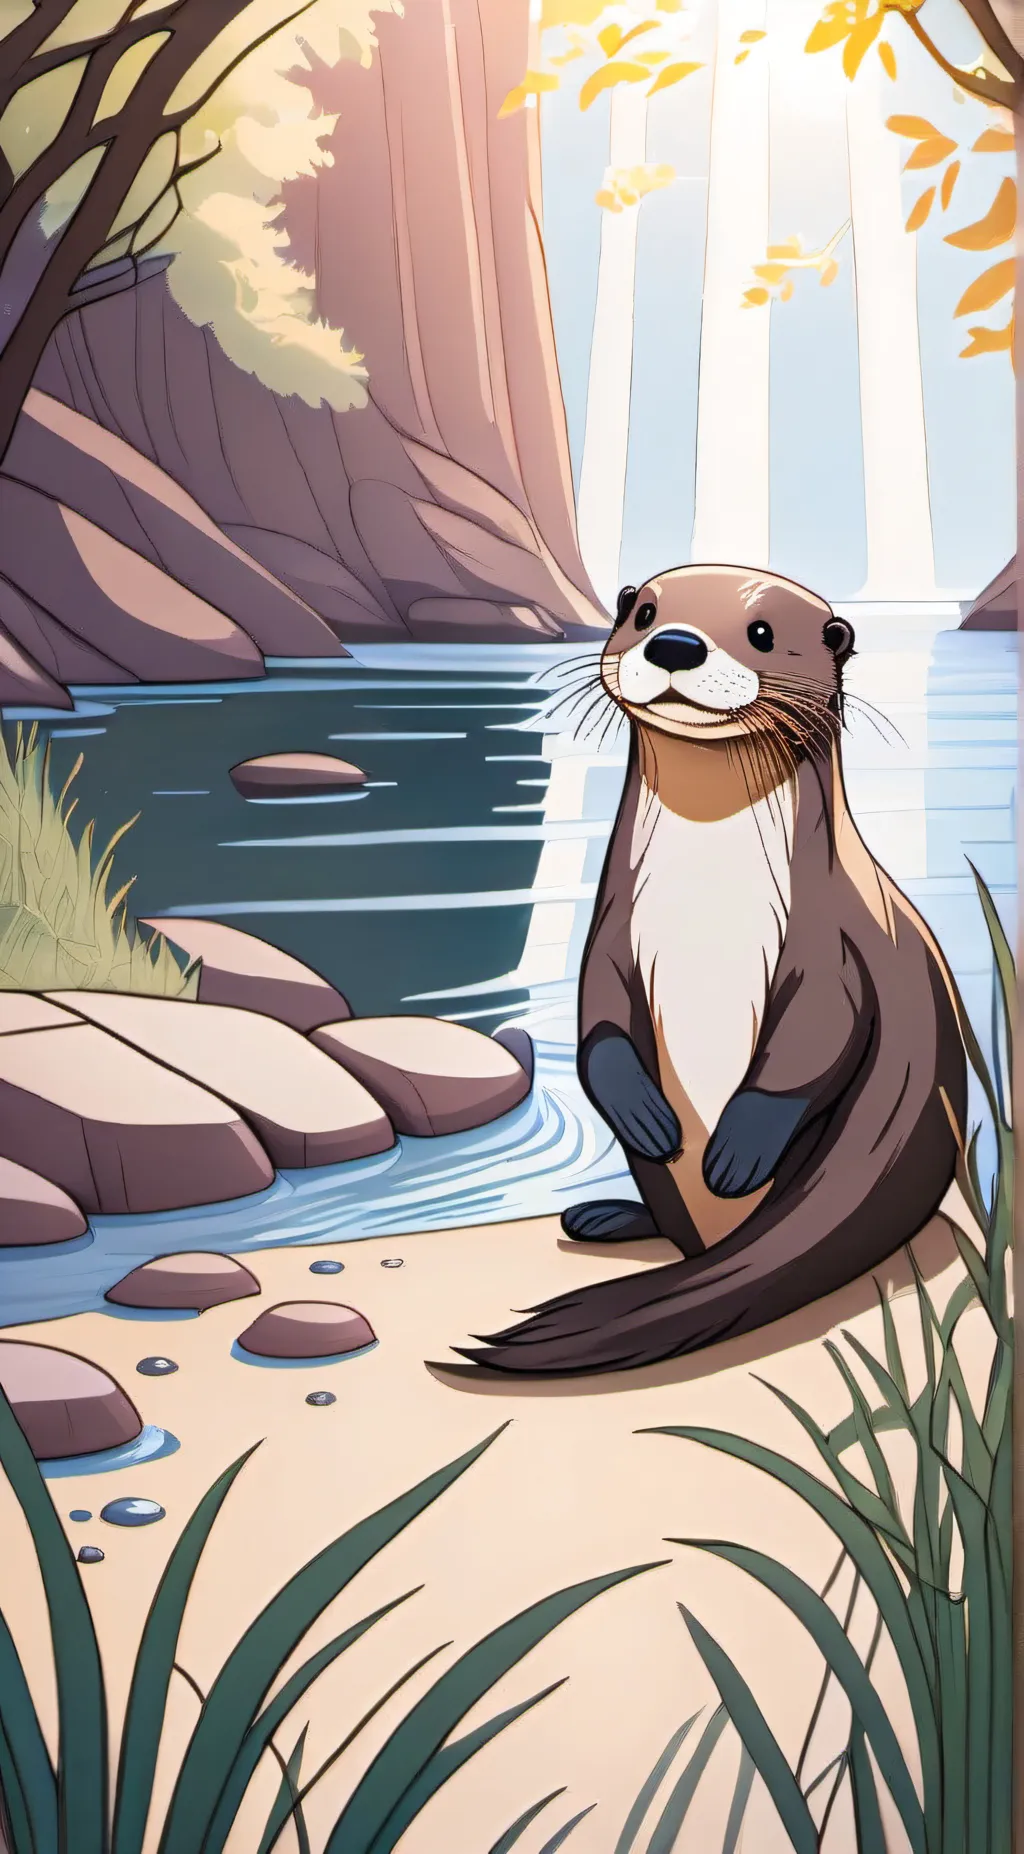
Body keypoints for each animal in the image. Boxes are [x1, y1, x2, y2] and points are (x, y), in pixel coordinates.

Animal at [457, 564, 969, 1377]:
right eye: (642, 612)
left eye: (761, 633)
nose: (675, 644)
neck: (706, 889)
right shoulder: (612, 930)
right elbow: (599, 1019)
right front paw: (645, 1115)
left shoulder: (830, 941)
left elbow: (816, 1036)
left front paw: (735, 1152)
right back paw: (605, 1214)